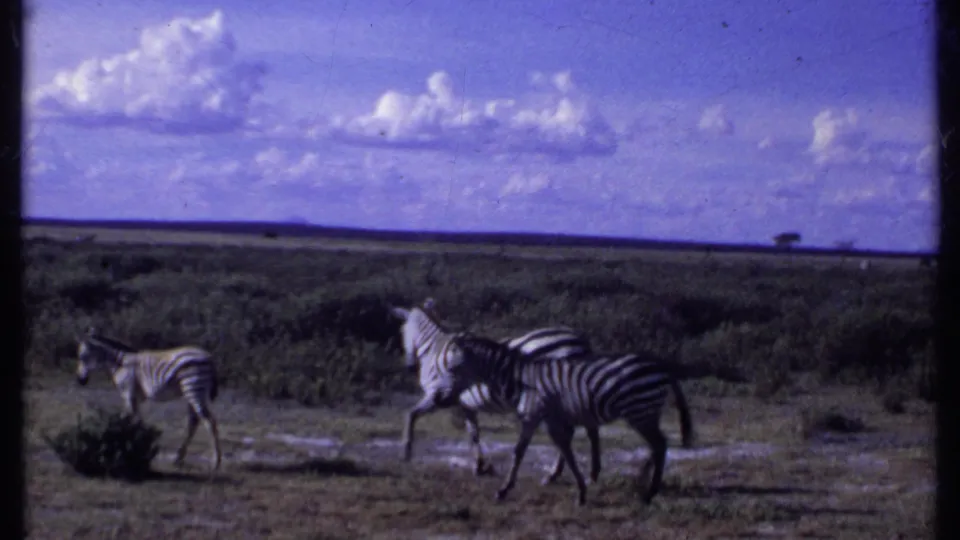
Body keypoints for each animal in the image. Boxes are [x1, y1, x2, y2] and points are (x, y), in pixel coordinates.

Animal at [75, 327, 222, 471]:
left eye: (82, 357)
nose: (80, 381)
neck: (119, 364)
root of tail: (208, 356)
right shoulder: (136, 398)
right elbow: (137, 420)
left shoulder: (128, 393)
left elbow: (130, 420)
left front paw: (132, 449)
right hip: (191, 393)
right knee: (194, 423)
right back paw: (178, 459)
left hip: (193, 388)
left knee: (210, 422)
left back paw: (216, 463)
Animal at [448, 332, 695, 507]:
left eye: (453, 366)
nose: (448, 396)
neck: (521, 379)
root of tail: (662, 368)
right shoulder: (549, 419)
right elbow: (564, 451)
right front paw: (580, 490)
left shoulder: (533, 415)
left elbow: (521, 452)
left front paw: (504, 490)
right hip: (645, 413)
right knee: (658, 445)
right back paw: (645, 483)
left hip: (640, 412)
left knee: (659, 445)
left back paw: (649, 492)